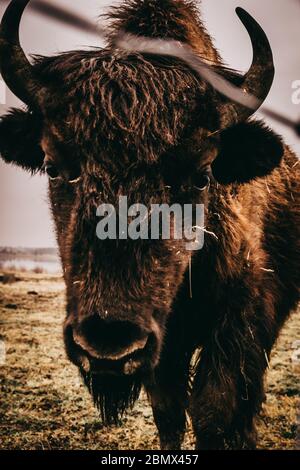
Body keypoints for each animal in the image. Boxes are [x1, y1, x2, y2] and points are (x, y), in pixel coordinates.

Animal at [0, 0, 300, 450]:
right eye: (53, 167)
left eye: (202, 175)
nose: (108, 344)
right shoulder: (164, 347)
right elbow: (169, 413)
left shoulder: (239, 322)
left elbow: (213, 409)